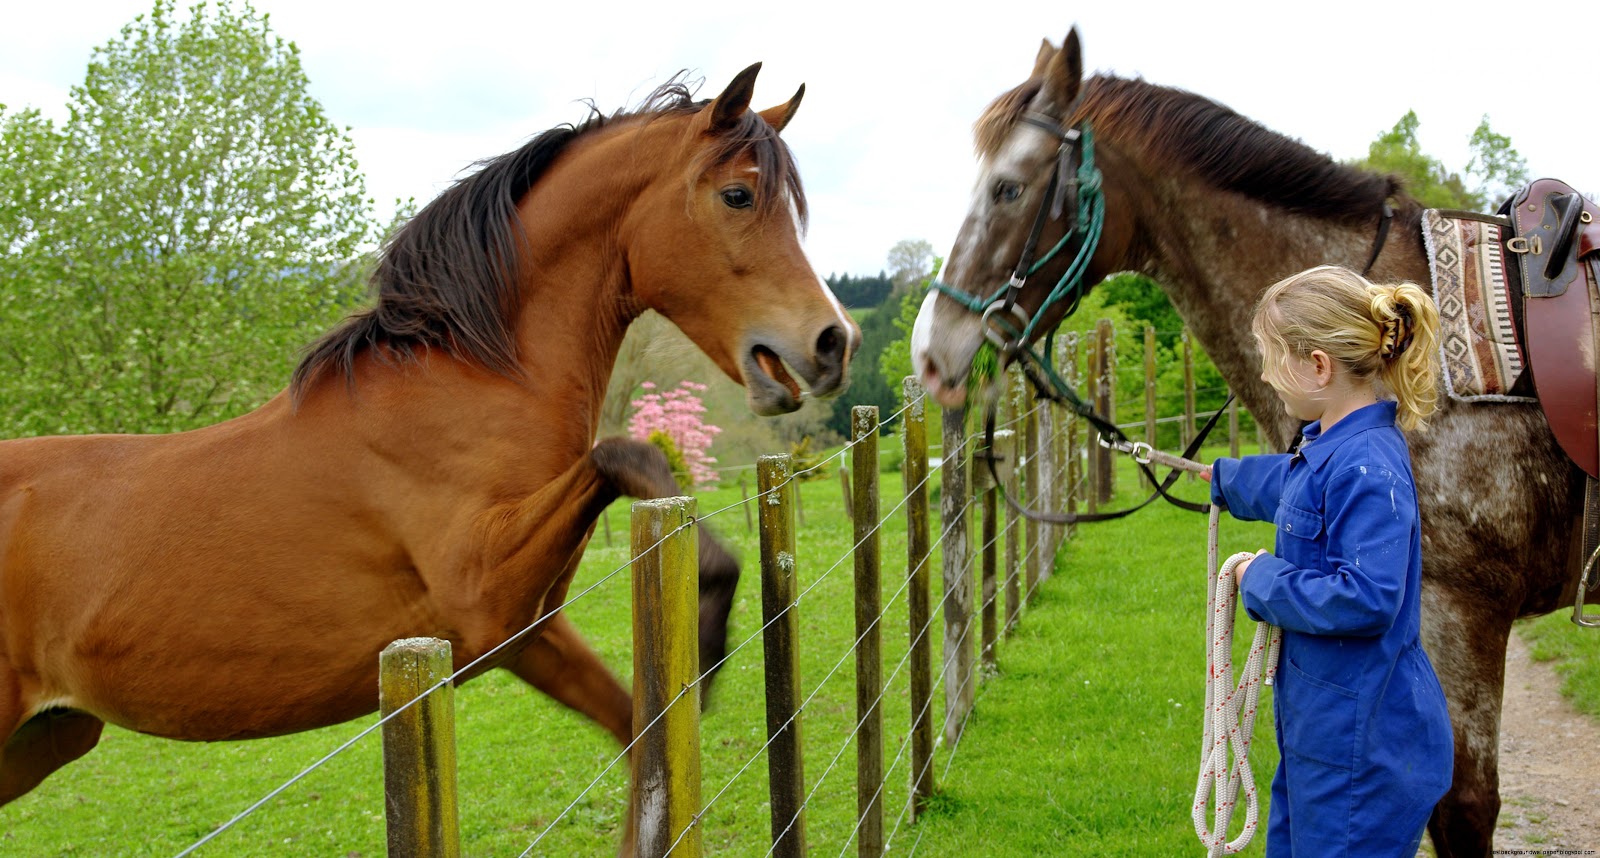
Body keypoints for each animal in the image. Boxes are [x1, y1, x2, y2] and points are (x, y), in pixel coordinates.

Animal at [0, 62, 857, 851]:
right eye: (739, 196)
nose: (829, 344)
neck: (465, 384)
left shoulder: (527, 632)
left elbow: (635, 731)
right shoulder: (485, 592)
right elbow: (626, 454)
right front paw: (708, 641)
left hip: (47, 736)